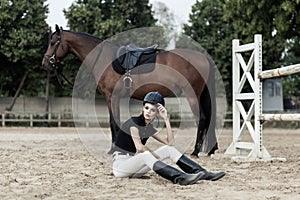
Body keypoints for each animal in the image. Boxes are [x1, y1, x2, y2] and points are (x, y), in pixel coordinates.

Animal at [41, 25, 217, 155]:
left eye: (53, 42)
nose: (45, 63)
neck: (105, 58)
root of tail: (203, 57)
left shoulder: (111, 96)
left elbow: (113, 122)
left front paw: (113, 149)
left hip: (192, 95)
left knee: (202, 119)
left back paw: (195, 151)